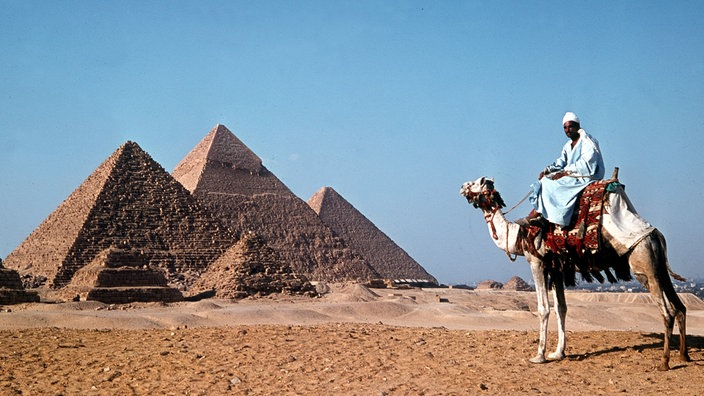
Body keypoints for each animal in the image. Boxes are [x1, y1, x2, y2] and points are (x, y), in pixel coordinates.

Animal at [460, 175, 692, 370]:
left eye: (476, 182)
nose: (462, 186)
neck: (519, 235)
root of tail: (656, 235)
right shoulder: (557, 268)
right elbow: (561, 308)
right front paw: (558, 353)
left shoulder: (537, 262)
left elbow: (543, 308)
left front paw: (539, 355)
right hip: (658, 265)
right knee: (680, 307)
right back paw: (684, 355)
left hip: (643, 265)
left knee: (667, 311)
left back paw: (664, 362)